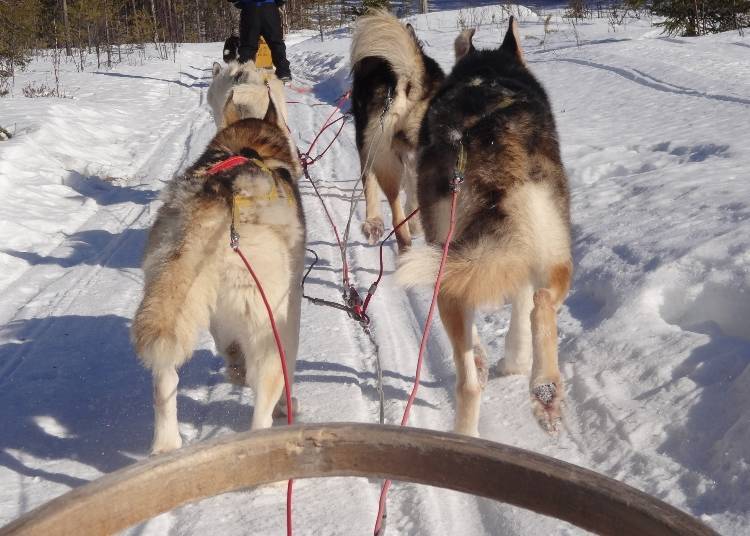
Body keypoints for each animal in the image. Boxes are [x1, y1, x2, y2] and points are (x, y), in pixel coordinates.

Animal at [133, 63, 306, 456]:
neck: (250, 145)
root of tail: (214, 207)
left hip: (179, 309)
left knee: (166, 382)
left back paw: (167, 443)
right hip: (271, 327)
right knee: (264, 396)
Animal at [352, 10, 446, 249]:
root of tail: (405, 82)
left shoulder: (367, 151)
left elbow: (369, 185)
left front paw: (372, 222)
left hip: (384, 158)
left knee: (398, 219)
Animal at [402, 18, 572, 438]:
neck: (486, 75)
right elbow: (522, 310)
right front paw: (515, 361)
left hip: (446, 277)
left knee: (468, 383)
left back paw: (464, 433)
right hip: (552, 251)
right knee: (542, 302)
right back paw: (545, 390)